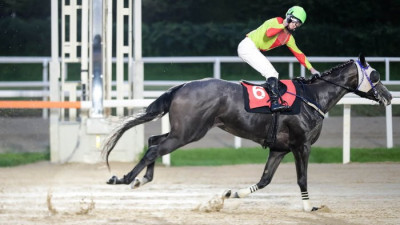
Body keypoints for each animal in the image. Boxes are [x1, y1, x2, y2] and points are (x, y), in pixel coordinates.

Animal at [101, 54, 392, 211]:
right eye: (376, 75)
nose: (389, 97)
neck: (312, 97)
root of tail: (181, 86)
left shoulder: (279, 148)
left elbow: (265, 180)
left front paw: (232, 194)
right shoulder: (302, 146)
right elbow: (302, 180)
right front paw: (309, 206)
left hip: (183, 131)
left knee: (153, 141)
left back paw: (140, 179)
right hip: (189, 132)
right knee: (154, 148)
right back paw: (125, 178)